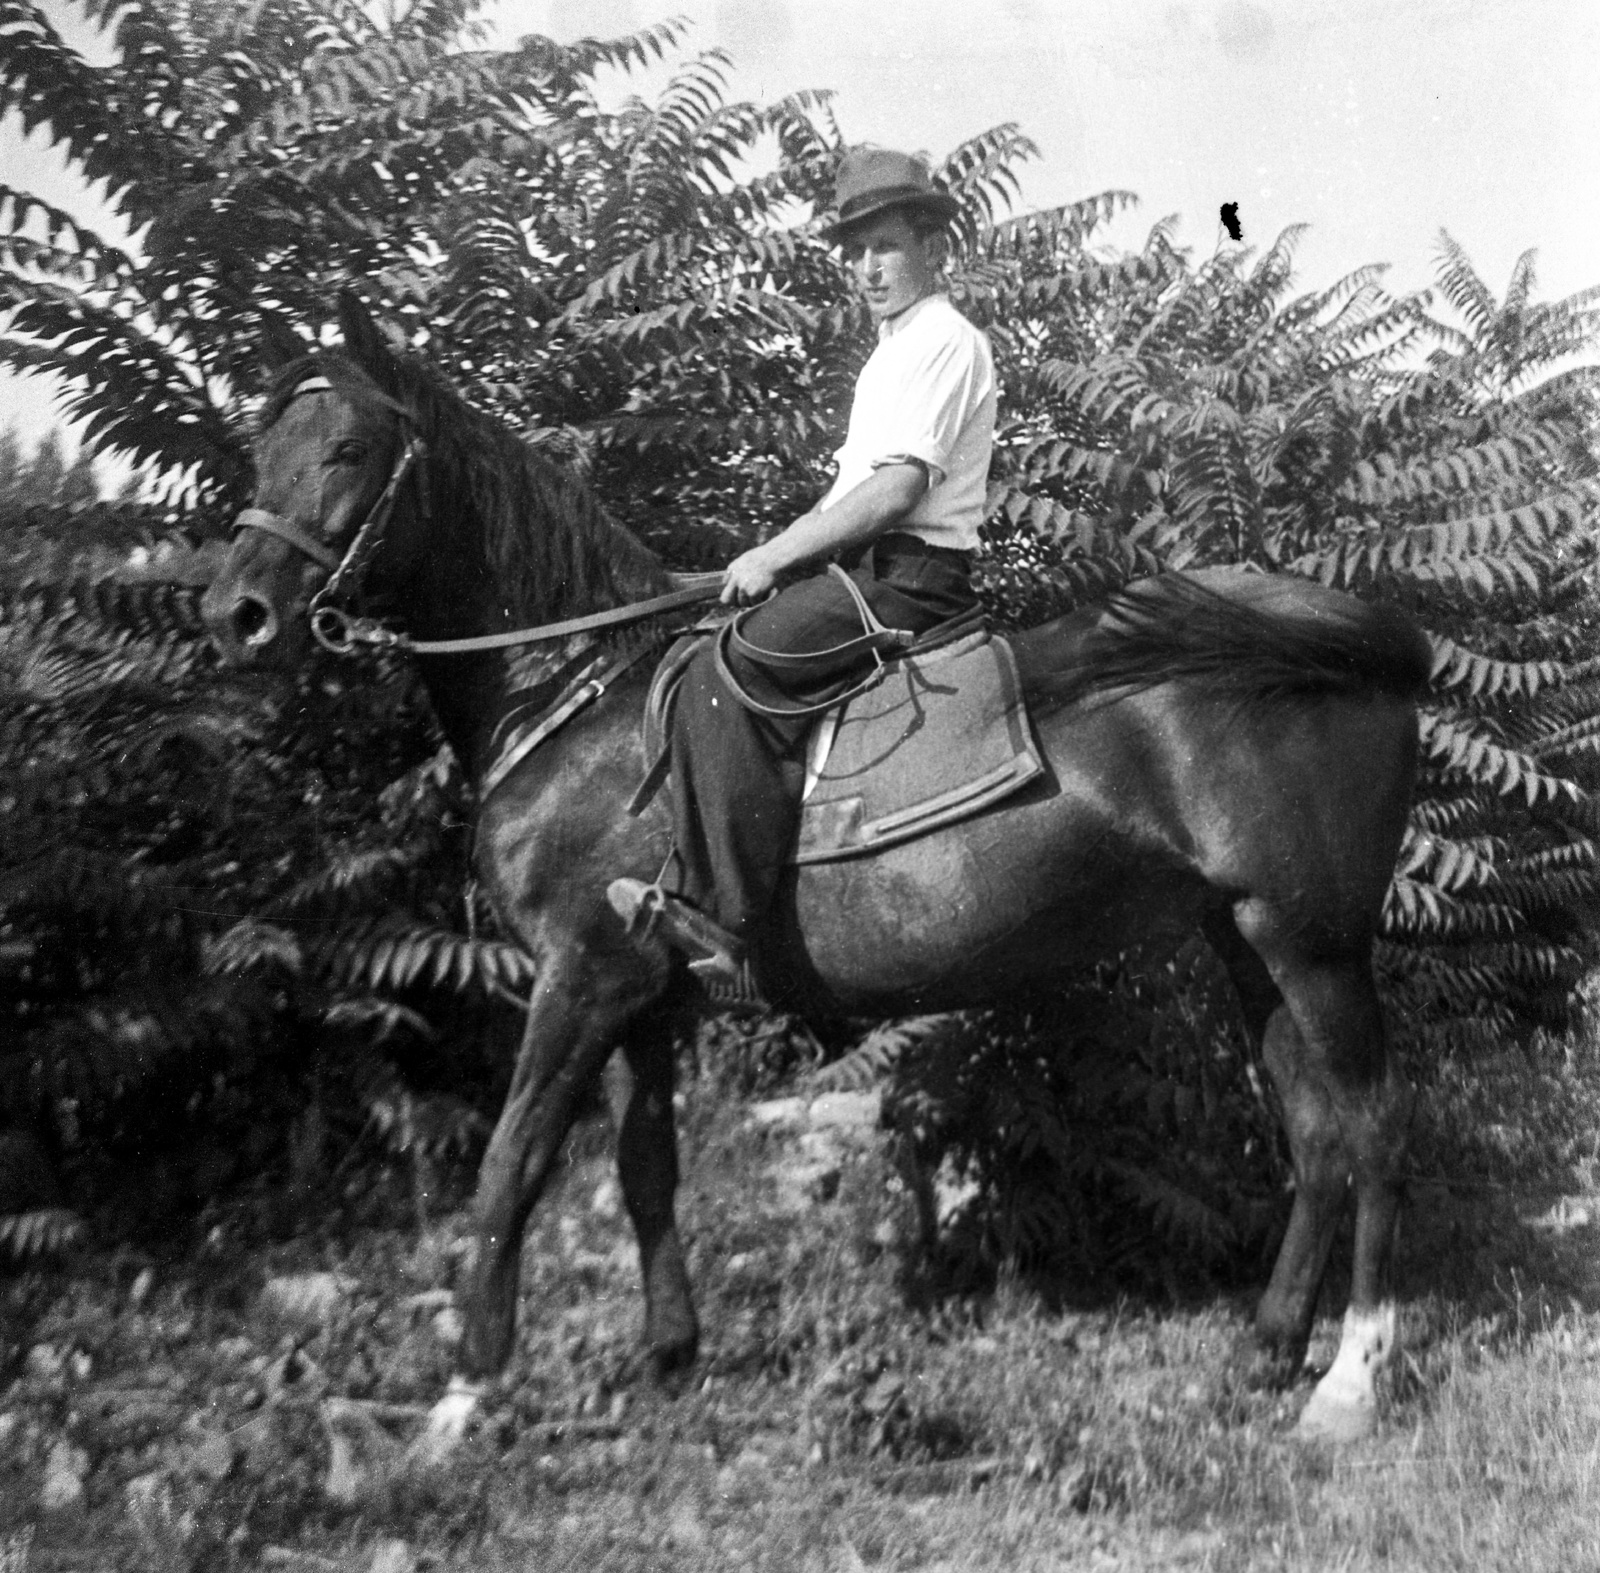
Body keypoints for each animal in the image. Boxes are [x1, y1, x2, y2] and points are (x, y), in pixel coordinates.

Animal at [206, 300, 1433, 1446]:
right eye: (264, 444)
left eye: (349, 447)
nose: (237, 614)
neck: (578, 696)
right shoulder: (648, 992)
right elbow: (644, 1166)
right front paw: (669, 1352)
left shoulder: (584, 974)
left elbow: (513, 1161)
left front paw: (466, 1391)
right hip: (1245, 938)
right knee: (1319, 1135)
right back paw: (1269, 1345)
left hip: (1314, 943)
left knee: (1375, 1128)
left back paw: (1350, 1379)